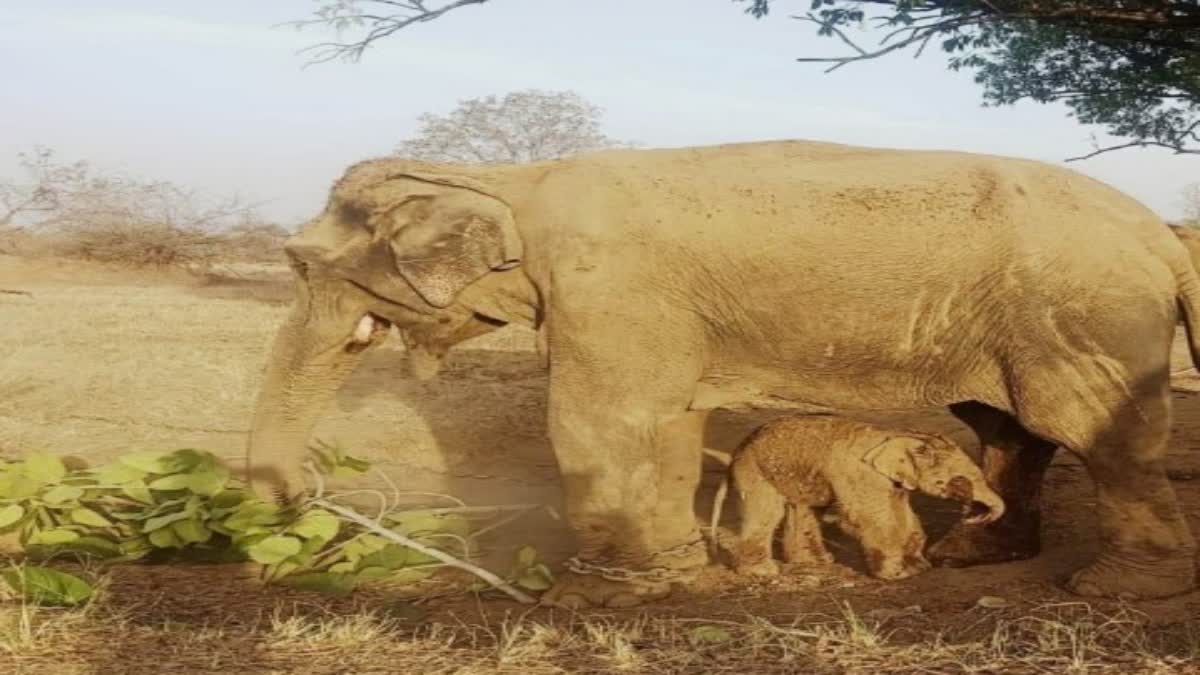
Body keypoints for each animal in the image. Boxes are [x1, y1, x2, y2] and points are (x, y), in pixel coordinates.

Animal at [715, 415, 1008, 578]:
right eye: (956, 481)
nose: (973, 514)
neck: (898, 435)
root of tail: (736, 453)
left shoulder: (894, 481)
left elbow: (904, 514)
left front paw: (919, 568)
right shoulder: (860, 474)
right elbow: (869, 516)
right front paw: (897, 575)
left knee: (806, 508)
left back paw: (817, 563)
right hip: (755, 470)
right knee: (766, 512)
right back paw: (762, 573)